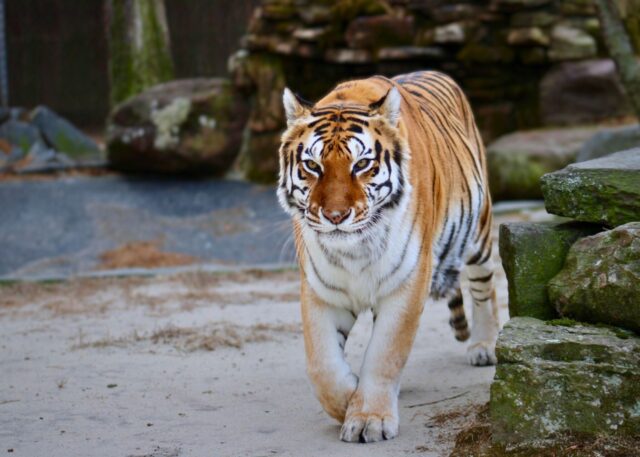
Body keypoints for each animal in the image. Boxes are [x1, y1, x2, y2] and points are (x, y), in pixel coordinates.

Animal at [277, 70, 499, 443]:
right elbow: (322, 365)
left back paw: (485, 345)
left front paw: (369, 419)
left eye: (362, 164)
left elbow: (385, 354)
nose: (335, 216)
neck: (354, 250)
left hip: (478, 231)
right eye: (312, 165)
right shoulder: (322, 290)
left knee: (486, 286)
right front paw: (348, 398)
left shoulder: (407, 282)